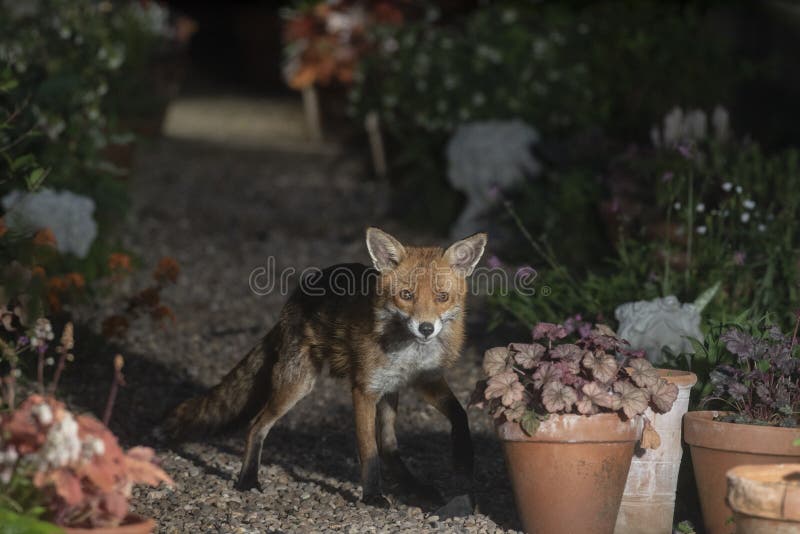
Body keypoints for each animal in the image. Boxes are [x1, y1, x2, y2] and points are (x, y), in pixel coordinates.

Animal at [163, 228, 488, 508]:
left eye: (442, 297)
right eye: (406, 295)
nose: (426, 328)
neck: (409, 353)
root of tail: (294, 299)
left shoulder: (426, 379)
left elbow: (459, 414)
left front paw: (464, 458)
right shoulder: (364, 390)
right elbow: (367, 451)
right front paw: (372, 496)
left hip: (388, 393)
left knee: (389, 447)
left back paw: (416, 487)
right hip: (298, 385)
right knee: (256, 426)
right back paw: (247, 480)